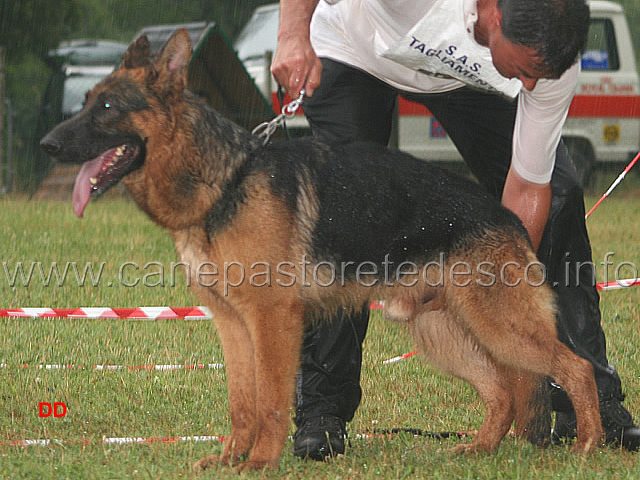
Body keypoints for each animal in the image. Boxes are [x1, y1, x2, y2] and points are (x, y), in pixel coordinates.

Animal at [42, 31, 604, 472]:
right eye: (88, 101)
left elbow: (271, 401)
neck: (224, 181)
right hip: (441, 332)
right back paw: (481, 449)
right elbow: (242, 404)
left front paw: (260, 462)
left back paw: (588, 444)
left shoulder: (273, 320)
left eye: (107, 108)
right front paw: (230, 459)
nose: (47, 145)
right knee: (503, 391)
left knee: (576, 368)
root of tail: (508, 215)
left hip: (499, 326)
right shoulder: (232, 324)